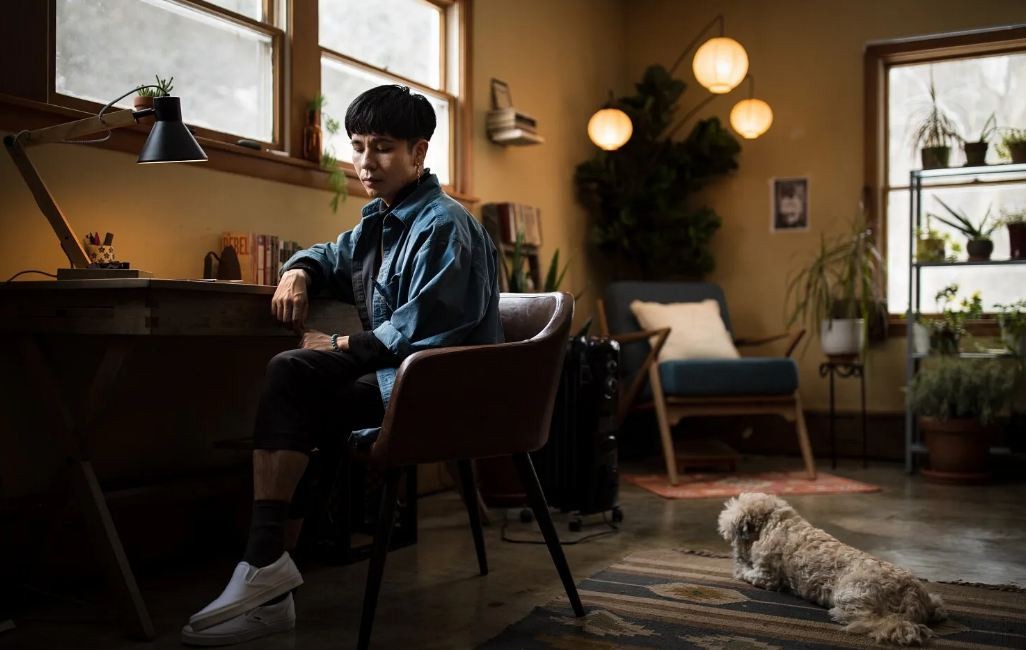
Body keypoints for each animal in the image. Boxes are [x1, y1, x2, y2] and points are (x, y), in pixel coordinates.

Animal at [714, 490, 943, 643]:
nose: (734, 551)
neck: (775, 522)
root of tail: (913, 595)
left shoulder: (766, 576)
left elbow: (745, 572)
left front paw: (738, 566)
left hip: (852, 592)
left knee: (872, 620)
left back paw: (841, 615)